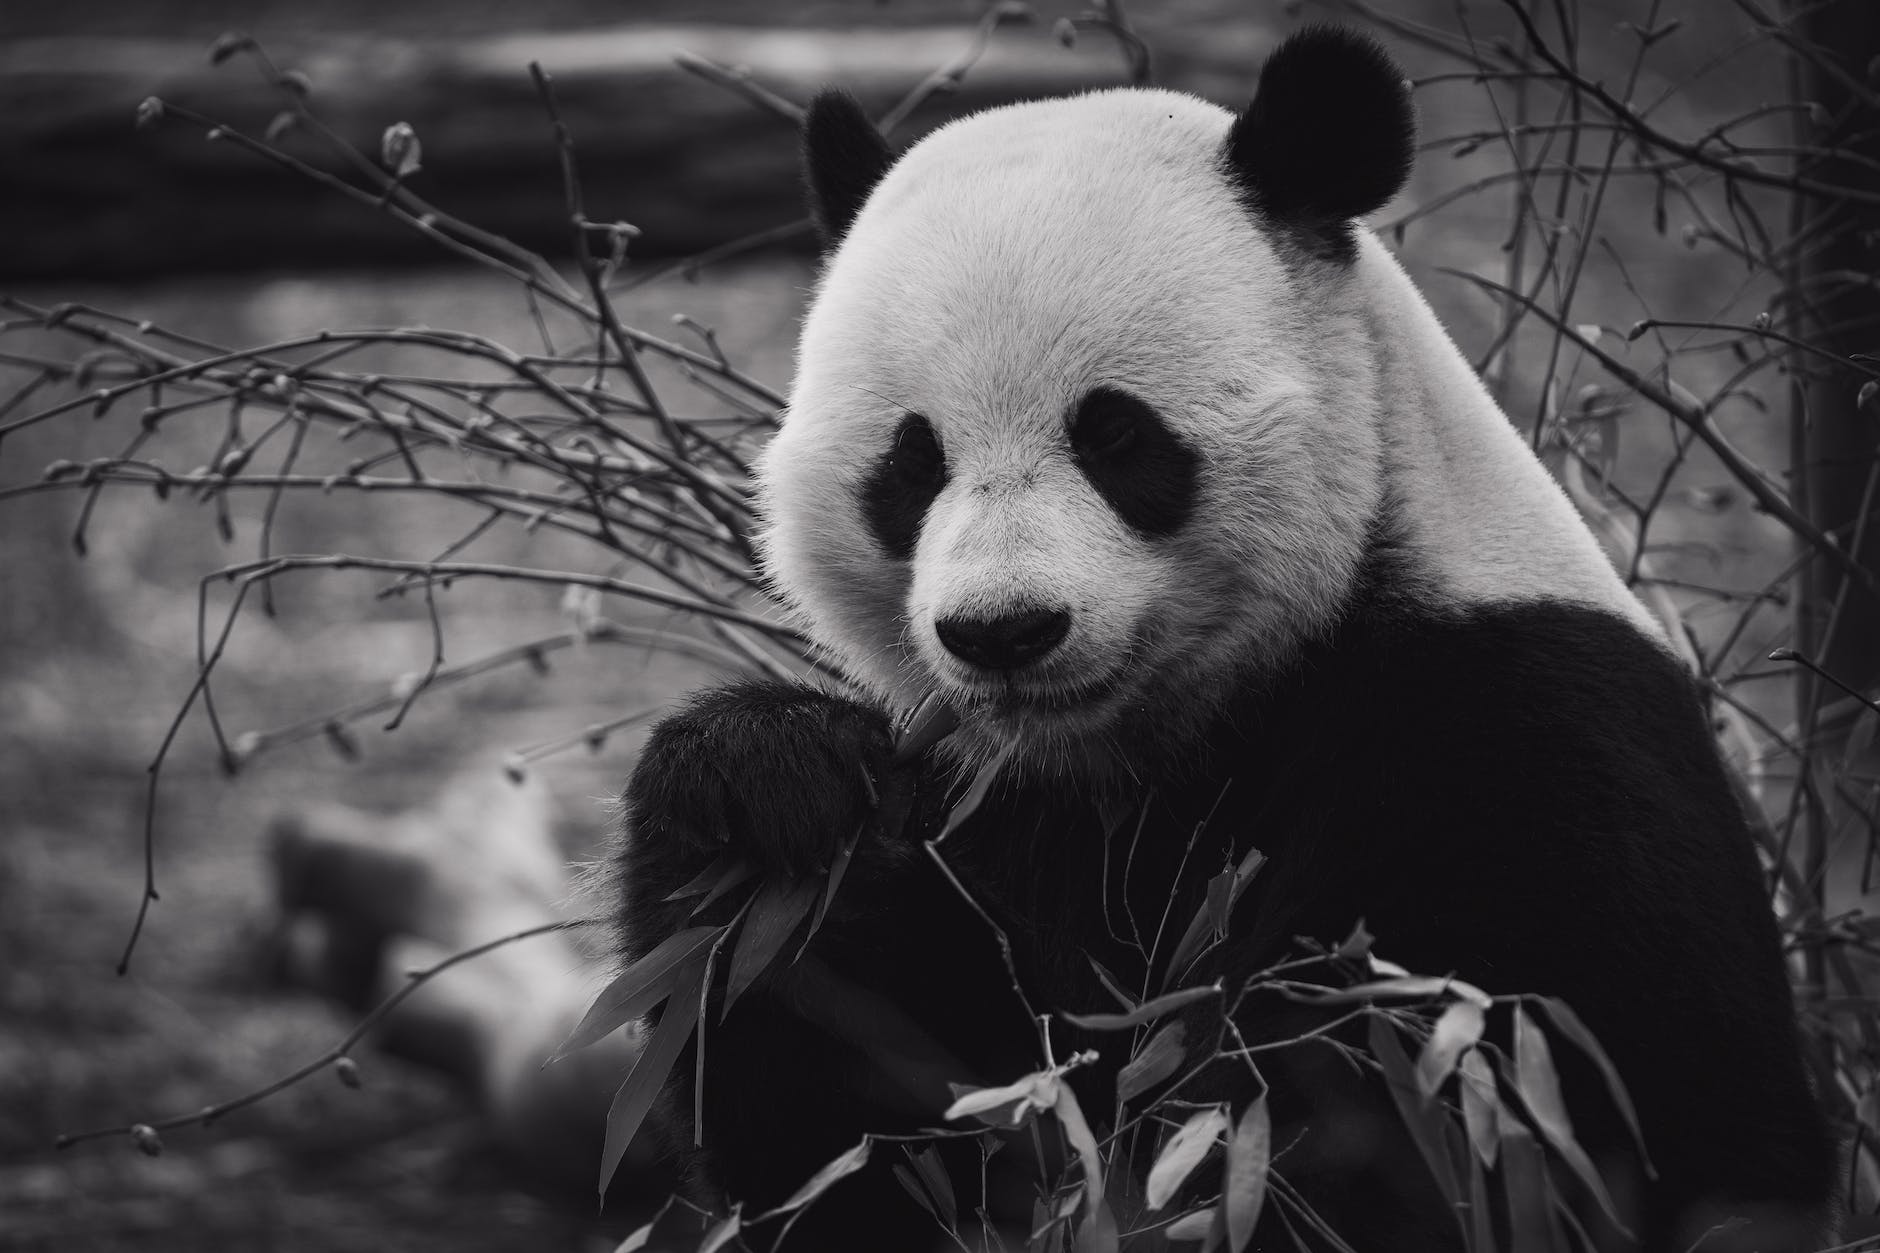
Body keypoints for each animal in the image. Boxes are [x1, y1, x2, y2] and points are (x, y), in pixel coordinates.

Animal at [617, 24, 1834, 1252]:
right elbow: (872, 1132)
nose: (1003, 631)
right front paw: (768, 782)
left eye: (1114, 435)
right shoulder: (1001, 807)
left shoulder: (1520, 741)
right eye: (912, 463)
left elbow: (1461, 1118)